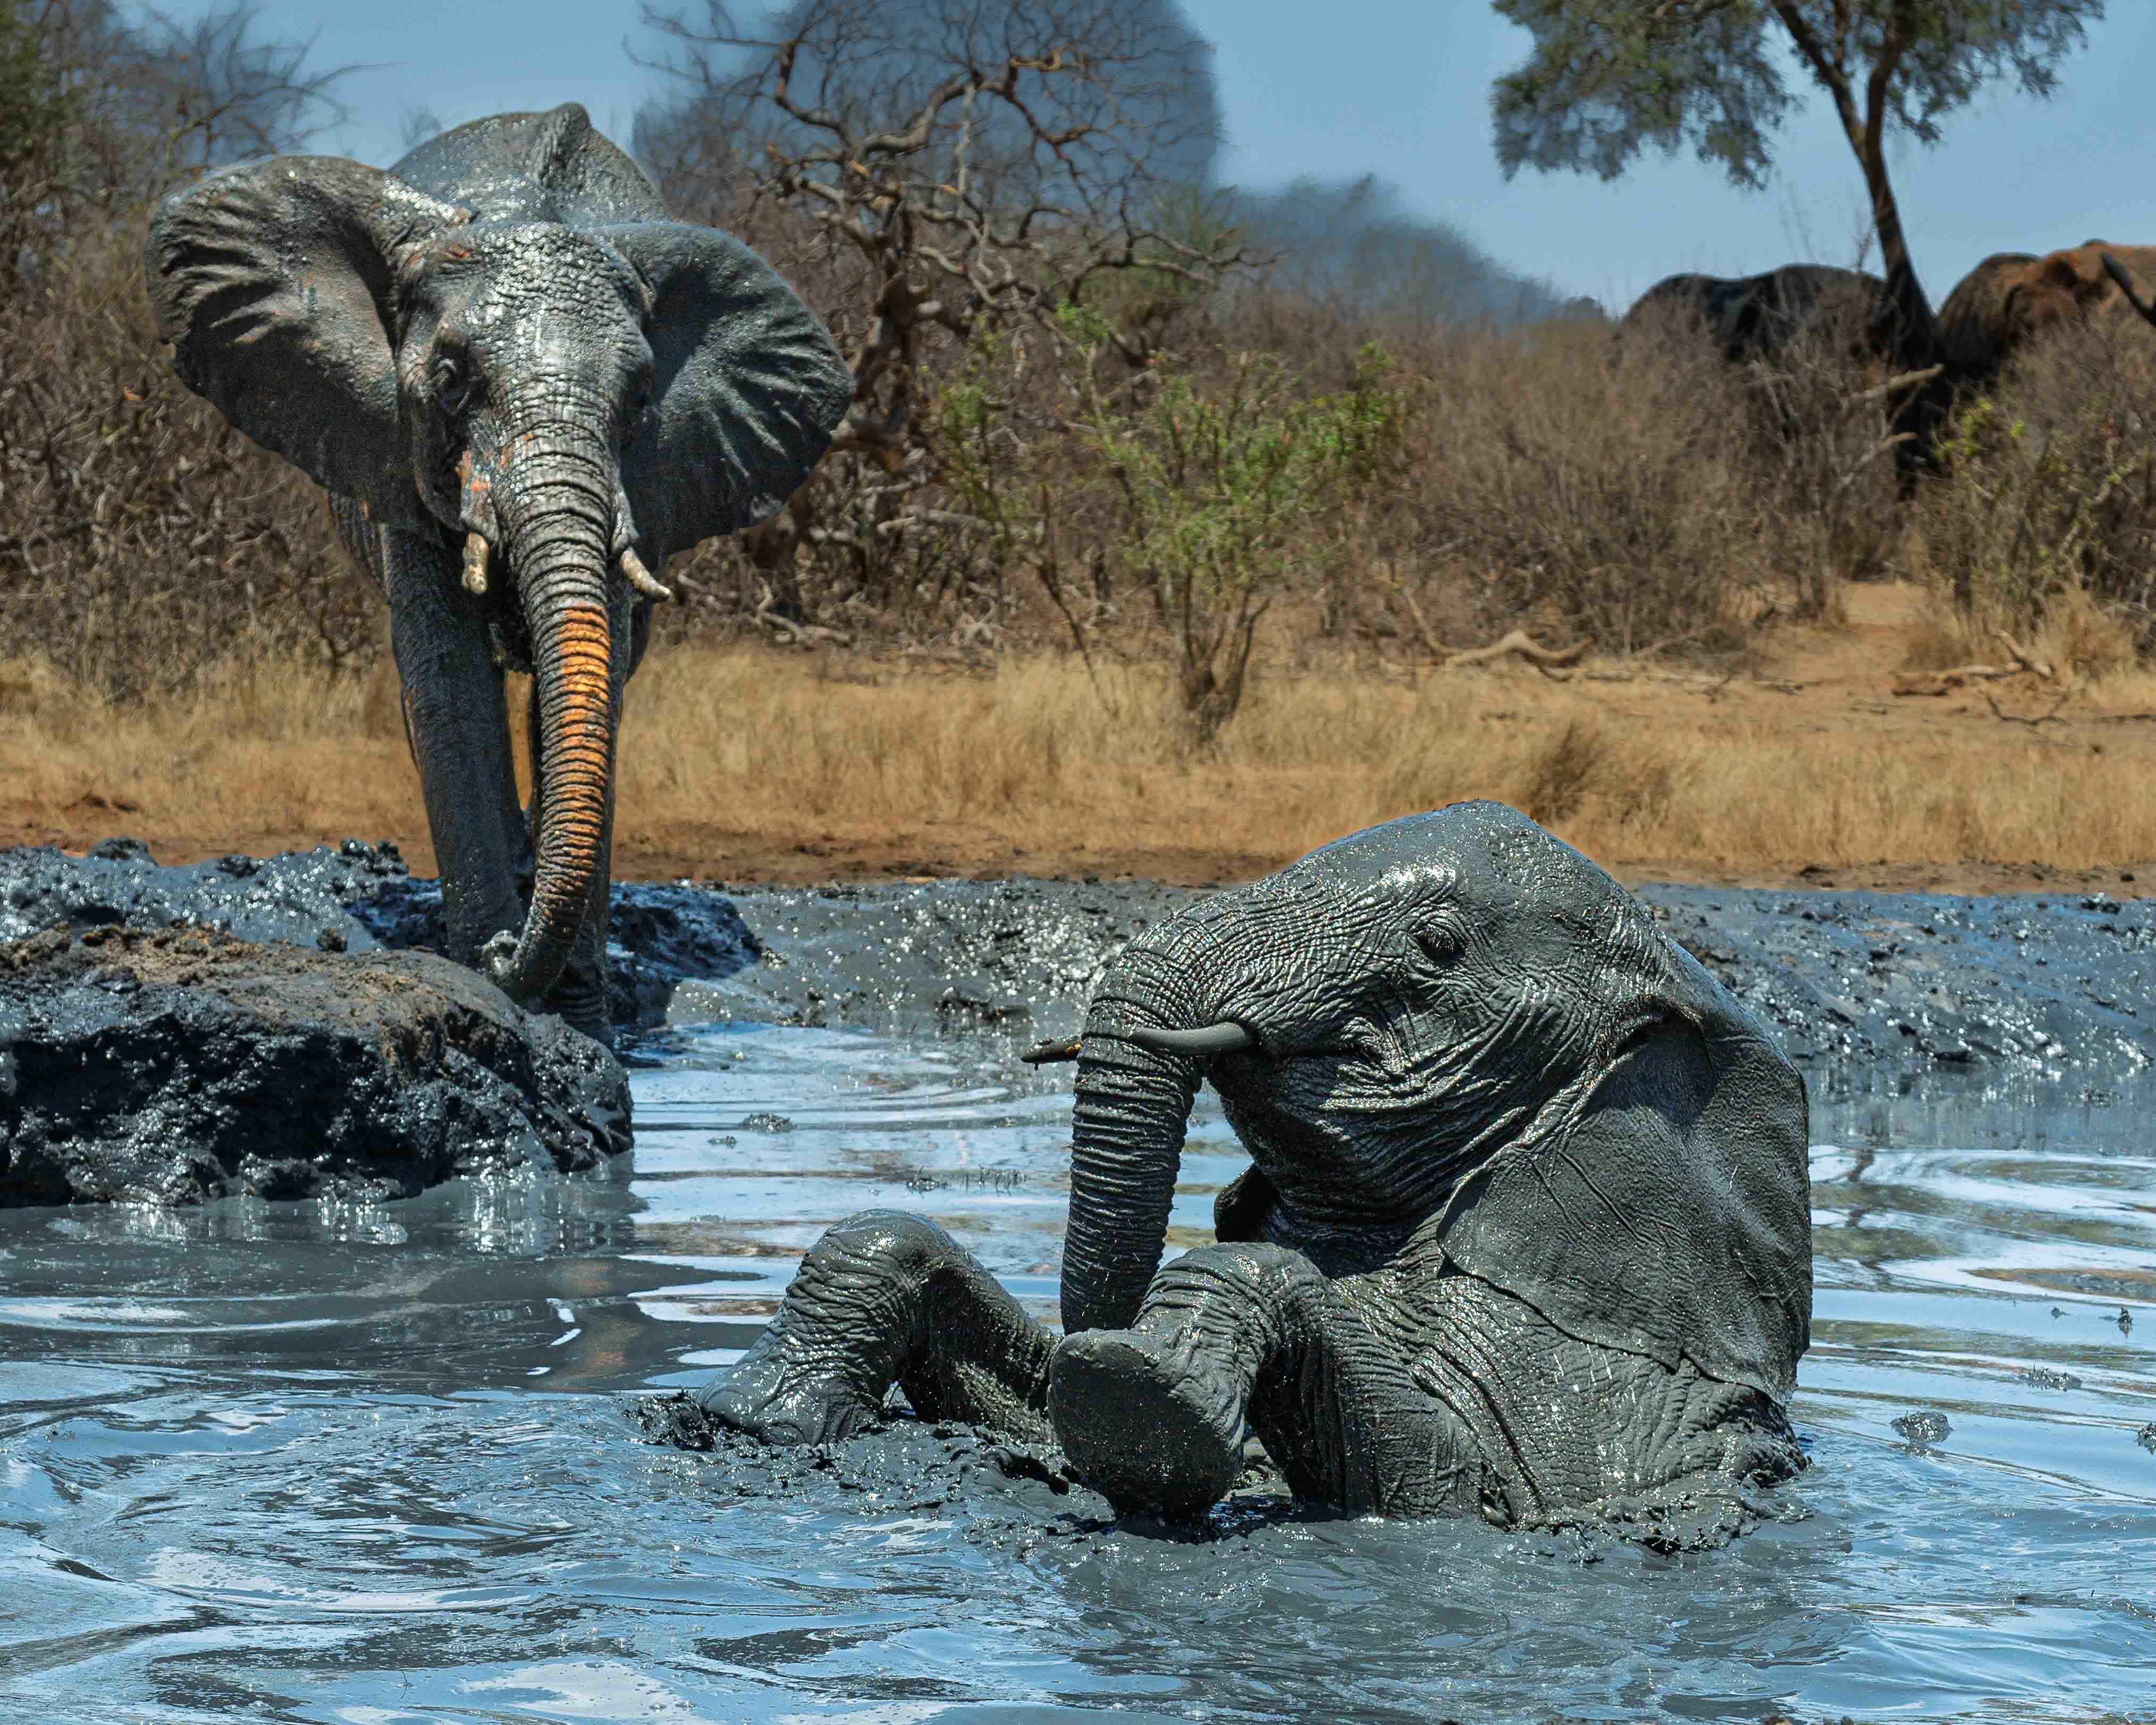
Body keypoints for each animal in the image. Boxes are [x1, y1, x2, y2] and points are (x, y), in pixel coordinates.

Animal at [144, 105, 853, 1041]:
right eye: (449, 380)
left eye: (640, 401)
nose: (505, 953)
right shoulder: (399, 456)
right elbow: (447, 683)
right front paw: (488, 981)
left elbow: (596, 686)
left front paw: (580, 1021)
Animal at [694, 803, 1814, 1531]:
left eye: (1438, 948)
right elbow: (953, 1304)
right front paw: (741, 1421)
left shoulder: (1587, 1359)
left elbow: (1461, 1484)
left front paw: (1132, 1396)